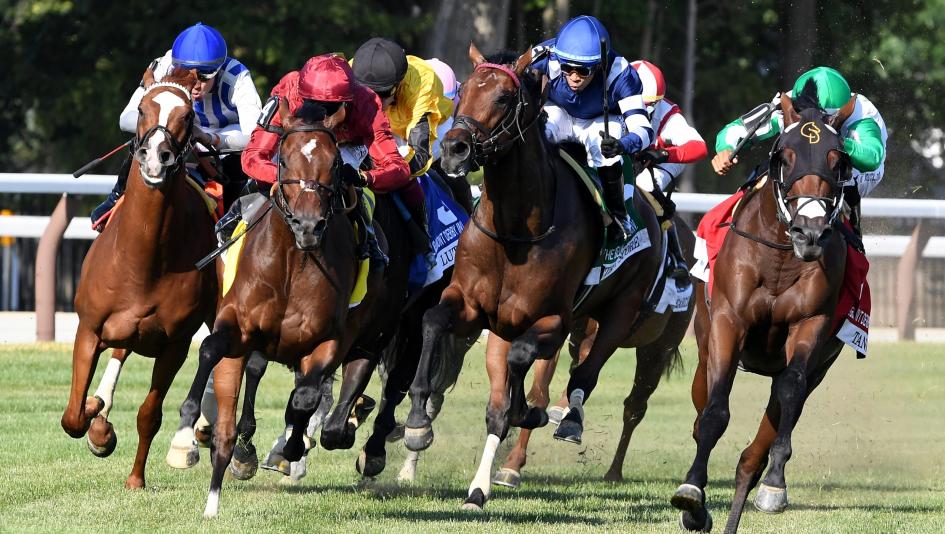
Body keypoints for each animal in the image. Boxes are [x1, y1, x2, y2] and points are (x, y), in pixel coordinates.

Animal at [60, 68, 219, 489]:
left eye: (188, 116)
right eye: (143, 108)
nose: (156, 157)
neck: (143, 260)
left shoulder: (175, 344)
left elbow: (149, 414)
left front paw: (136, 478)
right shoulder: (89, 329)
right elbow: (73, 416)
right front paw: (98, 424)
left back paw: (197, 436)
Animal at [197, 97, 414, 517]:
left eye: (335, 163)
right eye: (283, 159)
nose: (308, 226)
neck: (291, 263)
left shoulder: (330, 340)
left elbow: (305, 399)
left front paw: (294, 447)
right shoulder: (237, 325)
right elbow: (213, 350)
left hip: (374, 333)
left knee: (352, 382)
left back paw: (344, 427)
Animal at [401, 44, 692, 511]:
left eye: (503, 97)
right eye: (463, 91)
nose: (454, 150)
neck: (516, 230)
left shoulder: (552, 319)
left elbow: (522, 373)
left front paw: (530, 413)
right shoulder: (472, 305)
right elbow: (432, 322)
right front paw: (416, 423)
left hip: (628, 320)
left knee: (593, 377)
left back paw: (568, 420)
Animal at [671, 92, 856, 533]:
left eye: (837, 159)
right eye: (785, 156)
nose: (810, 233)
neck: (781, 259)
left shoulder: (810, 326)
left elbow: (790, 388)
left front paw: (774, 484)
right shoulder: (728, 322)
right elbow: (714, 412)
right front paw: (692, 492)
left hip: (820, 366)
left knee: (763, 438)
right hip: (705, 346)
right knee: (701, 409)